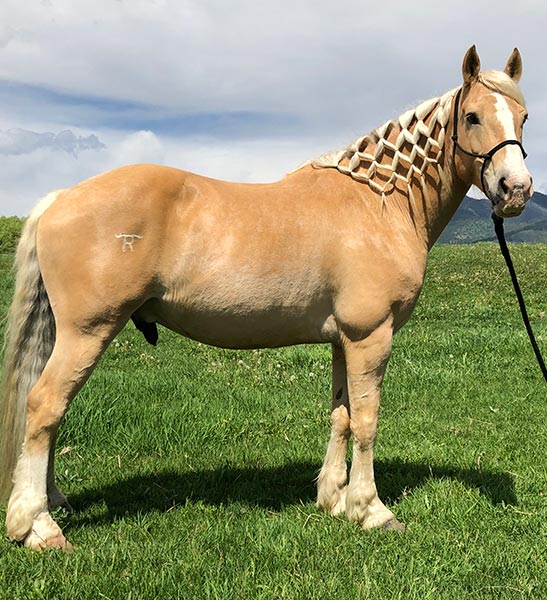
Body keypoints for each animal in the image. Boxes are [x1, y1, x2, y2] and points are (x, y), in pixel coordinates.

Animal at [0, 45, 532, 548]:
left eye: (524, 117)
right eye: (472, 116)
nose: (517, 189)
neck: (378, 206)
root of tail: (60, 198)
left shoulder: (343, 341)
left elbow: (341, 414)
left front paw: (333, 500)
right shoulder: (370, 336)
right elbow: (366, 420)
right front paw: (371, 509)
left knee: (47, 408)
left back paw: (52, 501)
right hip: (87, 332)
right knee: (44, 405)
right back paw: (36, 525)